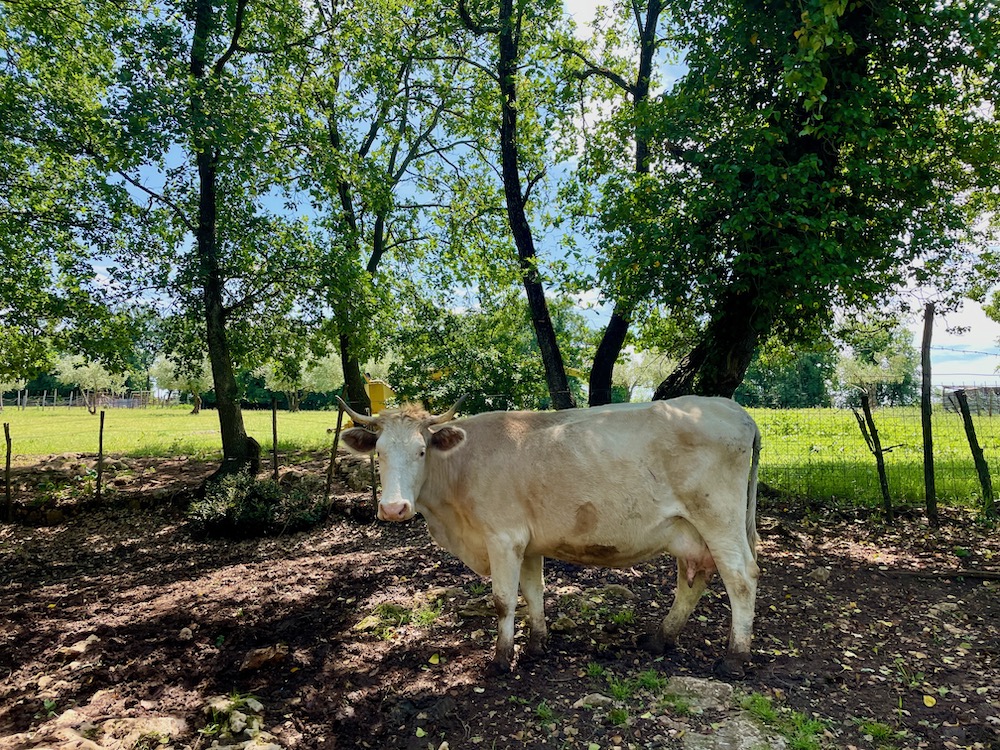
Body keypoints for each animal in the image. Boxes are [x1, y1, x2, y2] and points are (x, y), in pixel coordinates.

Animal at [340, 396, 760, 680]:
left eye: (421, 450)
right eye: (379, 453)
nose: (394, 508)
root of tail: (732, 408)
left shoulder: (503, 537)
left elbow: (503, 601)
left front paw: (501, 658)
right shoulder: (526, 542)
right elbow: (533, 592)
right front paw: (537, 643)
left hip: (718, 519)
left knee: (742, 578)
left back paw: (735, 658)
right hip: (689, 530)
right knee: (694, 578)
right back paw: (661, 638)